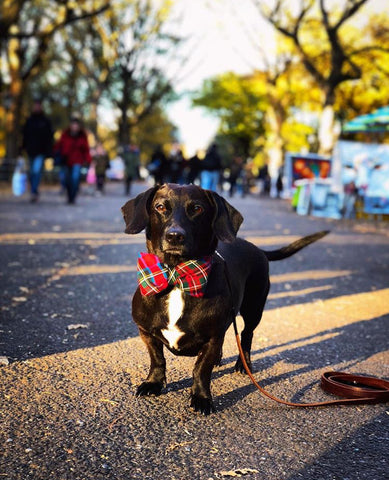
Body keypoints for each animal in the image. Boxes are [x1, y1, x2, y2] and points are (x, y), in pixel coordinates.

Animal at [122, 182, 328, 414]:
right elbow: (157, 359)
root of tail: (256, 248)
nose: (175, 236)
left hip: (253, 309)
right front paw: (153, 383)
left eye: (197, 209)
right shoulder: (146, 332)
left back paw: (242, 364)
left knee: (246, 336)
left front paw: (201, 397)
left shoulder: (213, 337)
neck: (178, 275)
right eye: (160, 207)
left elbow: (201, 369)